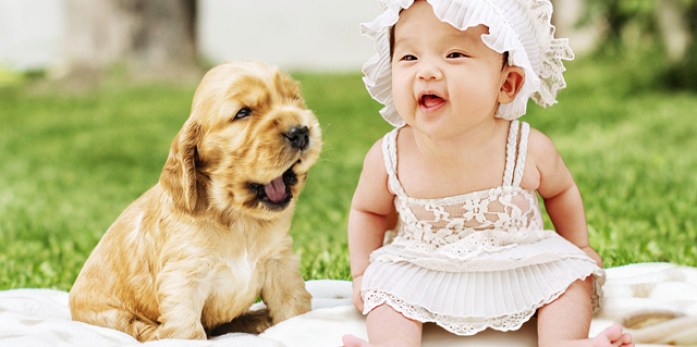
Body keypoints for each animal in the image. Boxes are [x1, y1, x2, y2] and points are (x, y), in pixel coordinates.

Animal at [69, 61, 320, 342]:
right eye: (243, 113)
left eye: (294, 99)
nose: (301, 131)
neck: (237, 219)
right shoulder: (183, 278)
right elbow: (187, 329)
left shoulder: (280, 262)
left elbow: (293, 307)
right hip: (109, 315)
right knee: (135, 327)